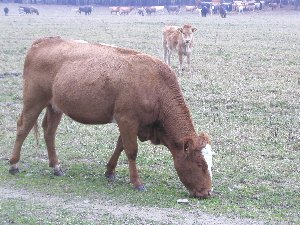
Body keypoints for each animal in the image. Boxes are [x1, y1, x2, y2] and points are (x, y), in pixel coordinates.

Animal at [8, 37, 212, 199]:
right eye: (200, 164)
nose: (208, 192)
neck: (155, 86)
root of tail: (43, 41)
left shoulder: (130, 123)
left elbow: (120, 146)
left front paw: (110, 171)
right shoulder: (127, 119)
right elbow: (131, 150)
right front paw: (137, 182)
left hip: (55, 106)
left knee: (49, 132)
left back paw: (56, 166)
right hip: (34, 101)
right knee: (23, 127)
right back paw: (14, 164)